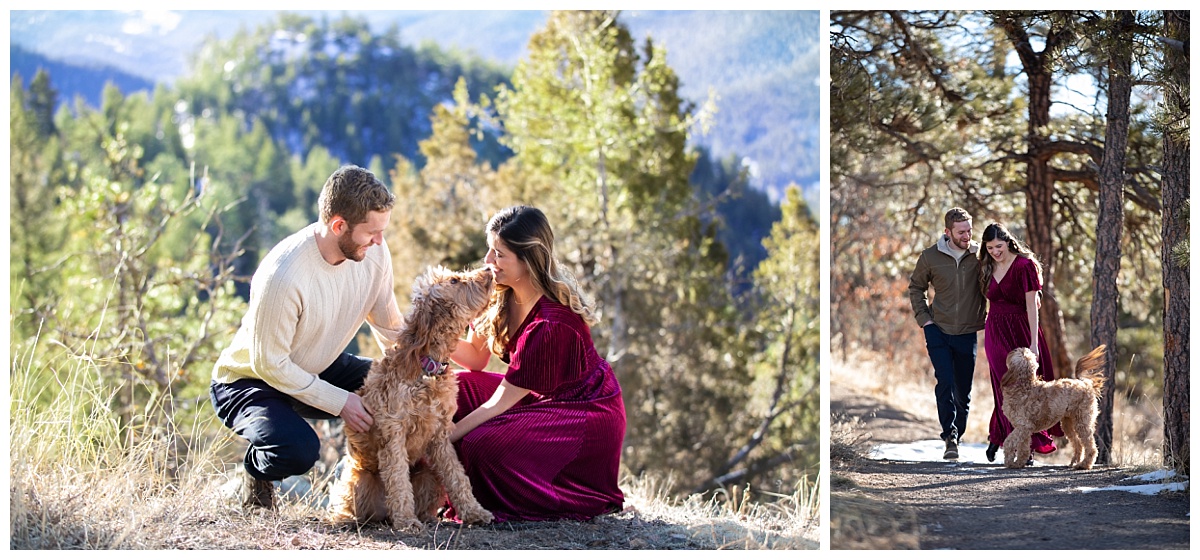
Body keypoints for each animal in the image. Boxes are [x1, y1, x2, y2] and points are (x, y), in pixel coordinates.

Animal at [326, 267, 494, 530]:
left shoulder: (440, 436)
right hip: (359, 481)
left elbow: (458, 477)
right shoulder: (393, 434)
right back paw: (348, 519)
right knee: (345, 504)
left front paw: (475, 512)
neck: (428, 367)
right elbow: (398, 479)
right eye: (454, 280)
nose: (488, 269)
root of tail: (383, 515)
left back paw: (426, 517)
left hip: (429, 475)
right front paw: (406, 521)